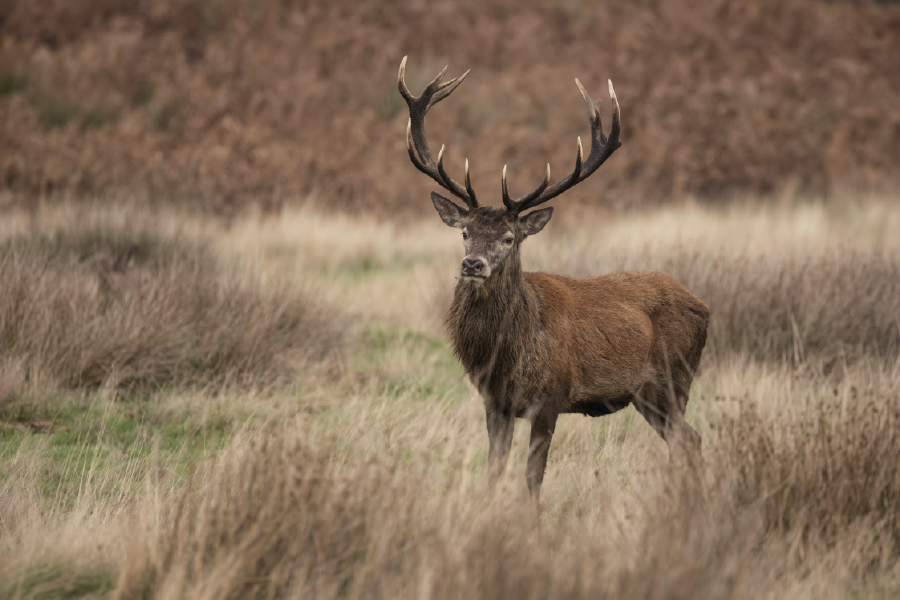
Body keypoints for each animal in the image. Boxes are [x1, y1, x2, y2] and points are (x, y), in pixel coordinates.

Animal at [398, 57, 709, 503]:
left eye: (509, 238)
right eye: (465, 232)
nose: (473, 265)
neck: (506, 355)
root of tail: (705, 308)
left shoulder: (551, 397)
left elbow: (532, 478)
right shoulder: (494, 402)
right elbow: (494, 471)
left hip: (675, 379)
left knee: (689, 439)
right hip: (647, 396)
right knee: (690, 440)